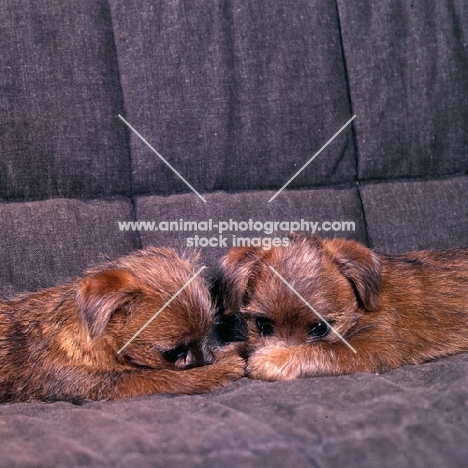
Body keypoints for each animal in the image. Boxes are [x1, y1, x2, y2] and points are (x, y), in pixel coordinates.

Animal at [0, 247, 245, 404]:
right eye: (173, 352)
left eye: (207, 335)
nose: (208, 361)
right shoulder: (108, 383)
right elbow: (161, 377)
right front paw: (216, 371)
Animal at [219, 236, 468, 382]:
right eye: (262, 325)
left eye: (320, 328)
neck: (361, 306)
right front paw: (227, 354)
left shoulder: (375, 346)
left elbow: (325, 350)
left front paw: (274, 359)